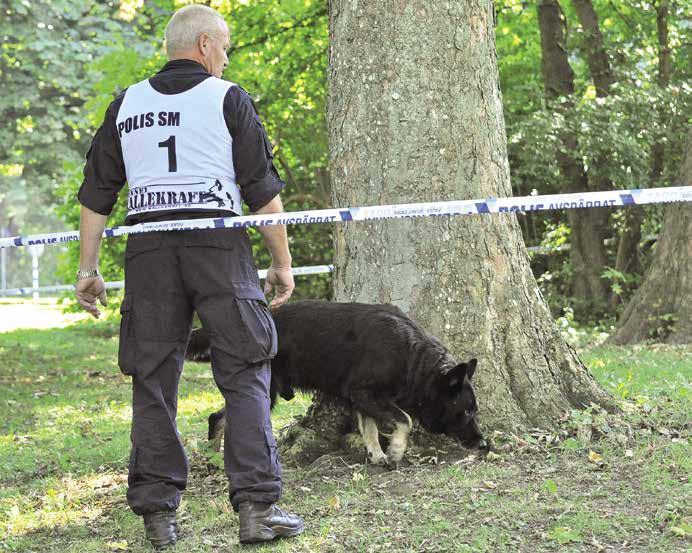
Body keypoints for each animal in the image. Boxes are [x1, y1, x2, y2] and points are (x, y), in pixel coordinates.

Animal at [187, 298, 484, 466]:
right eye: (467, 411)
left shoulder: (363, 399)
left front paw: (377, 455)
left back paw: (216, 458)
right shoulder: (364, 392)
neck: (412, 357)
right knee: (218, 418)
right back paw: (216, 459)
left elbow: (370, 429)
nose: (484, 445)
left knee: (218, 418)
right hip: (264, 393)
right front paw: (397, 451)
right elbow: (405, 420)